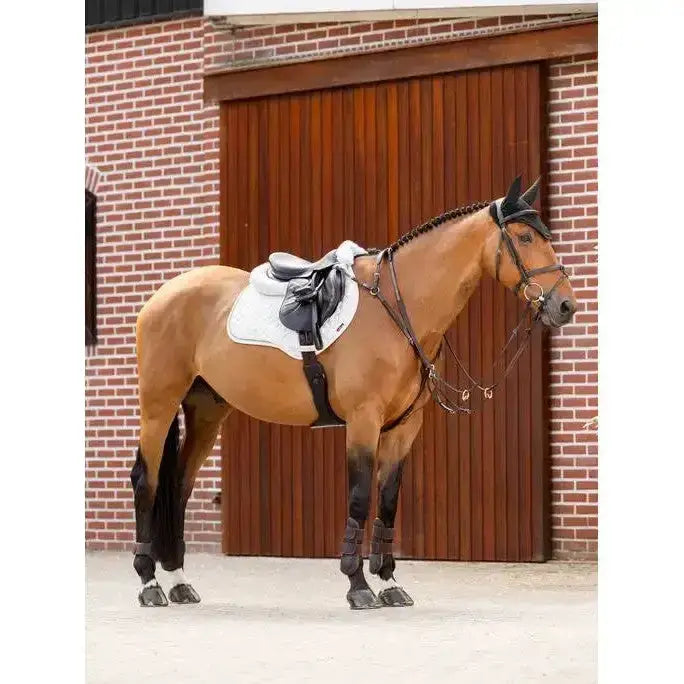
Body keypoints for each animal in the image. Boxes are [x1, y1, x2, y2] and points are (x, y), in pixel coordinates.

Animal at [130, 175, 577, 609]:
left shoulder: (404, 428)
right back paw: (149, 582)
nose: (566, 306)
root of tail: (160, 297)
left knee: (179, 484)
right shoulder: (364, 420)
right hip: (158, 406)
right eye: (524, 238)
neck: (397, 307)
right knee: (145, 480)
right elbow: (360, 498)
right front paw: (358, 585)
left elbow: (388, 499)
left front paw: (389, 582)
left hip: (207, 411)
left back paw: (178, 581)